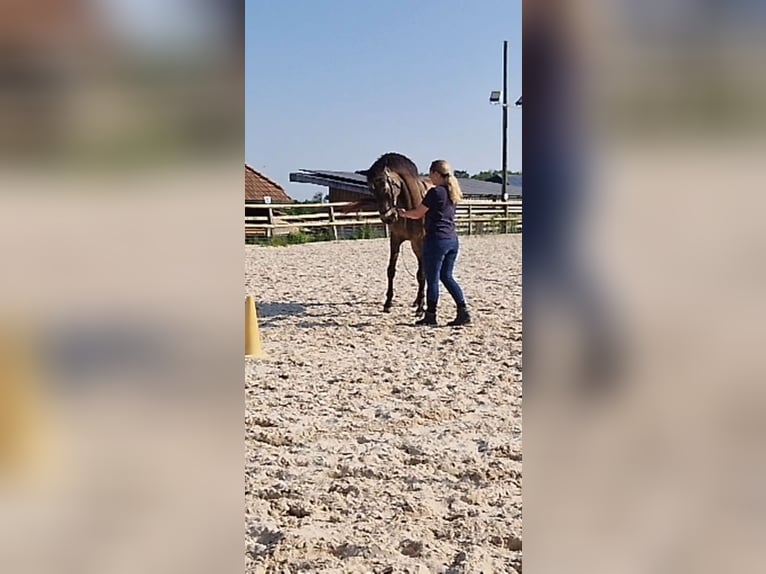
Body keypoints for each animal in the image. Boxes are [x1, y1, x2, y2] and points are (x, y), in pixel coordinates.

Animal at [361, 152, 430, 315]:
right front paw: (388, 303)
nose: (388, 217)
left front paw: (421, 308)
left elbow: (421, 273)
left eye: (386, 188)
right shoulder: (395, 239)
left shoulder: (420, 241)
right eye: (372, 190)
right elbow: (391, 270)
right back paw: (417, 300)